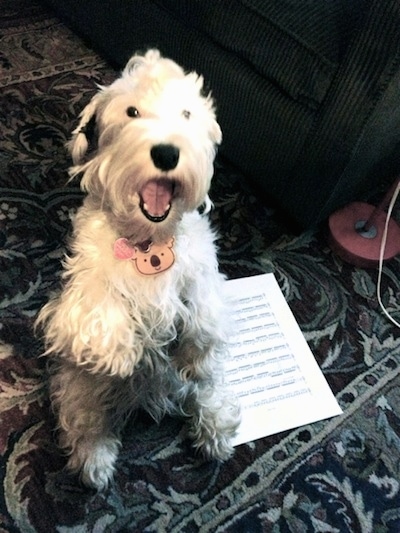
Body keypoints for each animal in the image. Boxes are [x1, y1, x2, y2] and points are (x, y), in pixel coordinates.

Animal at [36, 51, 241, 490]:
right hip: (78, 392)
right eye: (132, 112)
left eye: (186, 113)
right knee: (86, 423)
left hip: (202, 385)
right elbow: (99, 309)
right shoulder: (82, 286)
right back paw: (94, 464)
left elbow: (203, 310)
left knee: (207, 390)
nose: (166, 154)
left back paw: (216, 430)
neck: (149, 239)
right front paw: (119, 355)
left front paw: (193, 348)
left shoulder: (202, 272)